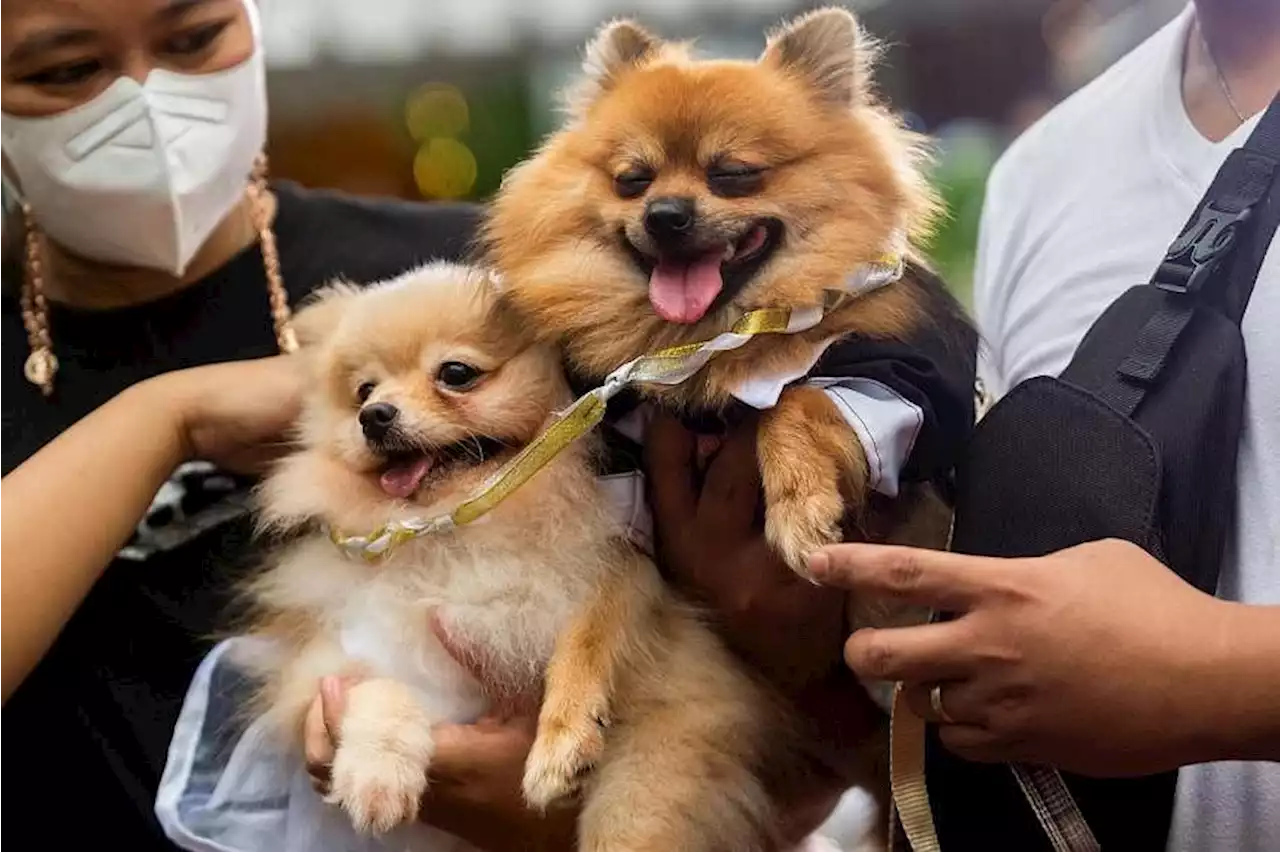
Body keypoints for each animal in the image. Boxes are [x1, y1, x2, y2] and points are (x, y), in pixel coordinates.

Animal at [231, 262, 793, 844]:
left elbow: (594, 634)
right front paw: (375, 773)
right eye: (363, 390)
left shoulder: (653, 624)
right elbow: (376, 687)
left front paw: (563, 738)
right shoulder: (346, 653)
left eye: (455, 373)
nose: (374, 415)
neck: (461, 523)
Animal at [483, 6, 962, 591]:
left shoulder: (900, 378)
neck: (708, 338)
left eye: (732, 174)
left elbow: (798, 400)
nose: (664, 214)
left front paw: (800, 509)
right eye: (633, 180)